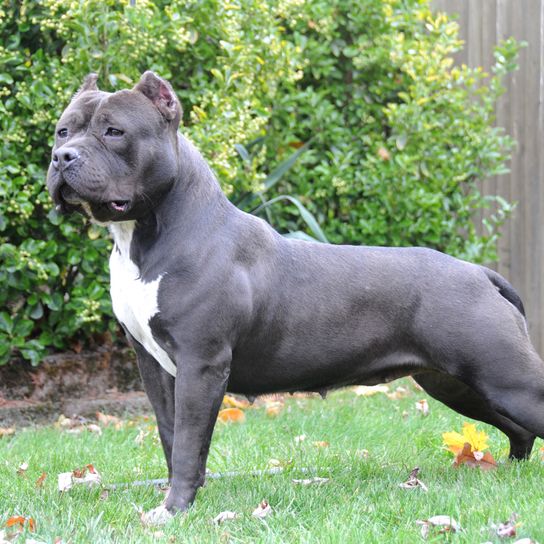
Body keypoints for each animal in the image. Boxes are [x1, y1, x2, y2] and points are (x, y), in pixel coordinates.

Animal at [47, 71, 544, 523]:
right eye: (63, 130)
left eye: (114, 131)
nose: (61, 156)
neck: (149, 234)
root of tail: (480, 272)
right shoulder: (153, 365)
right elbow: (172, 437)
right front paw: (177, 501)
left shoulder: (201, 364)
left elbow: (188, 443)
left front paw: (174, 510)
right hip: (456, 383)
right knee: (515, 428)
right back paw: (511, 471)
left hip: (503, 377)